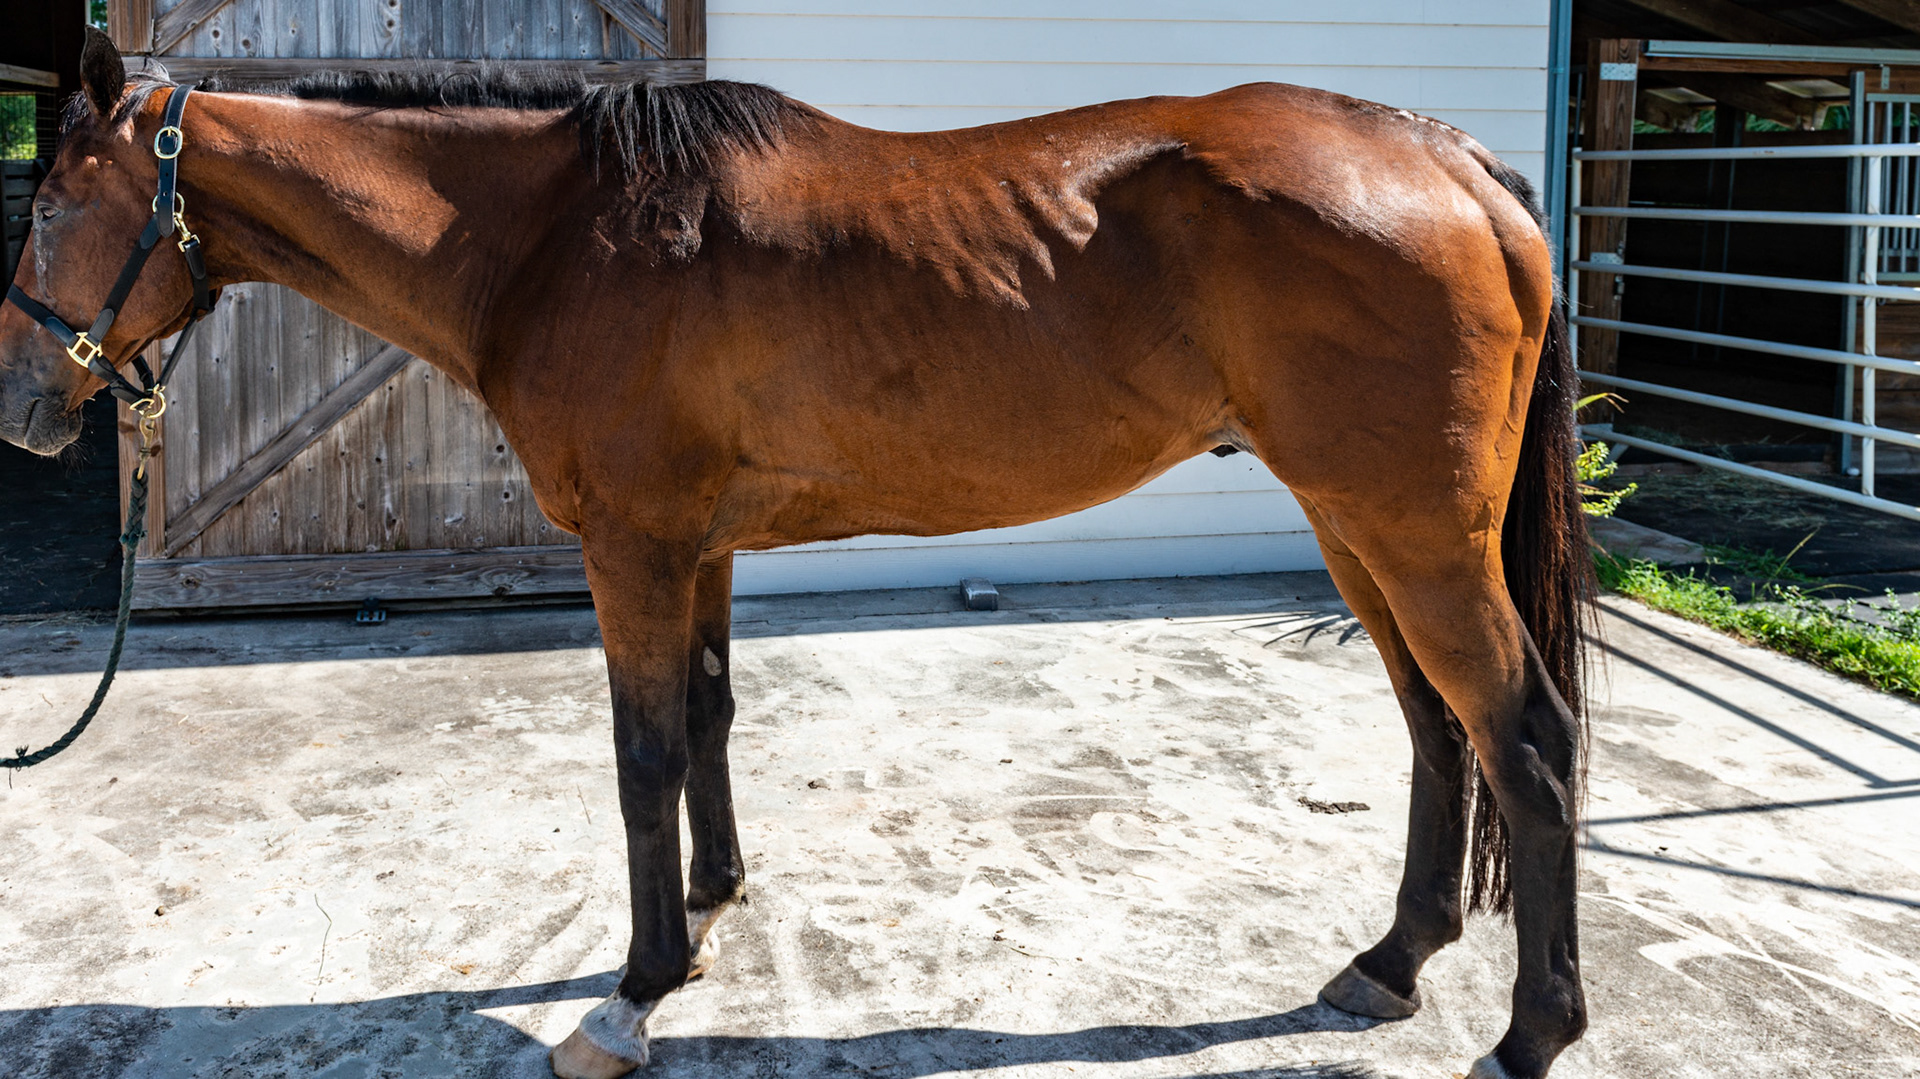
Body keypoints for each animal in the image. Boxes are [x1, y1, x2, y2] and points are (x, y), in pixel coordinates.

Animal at [1, 27, 1591, 1079]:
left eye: (52, 197)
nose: (23, 407)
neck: (557, 235)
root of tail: (1448, 156)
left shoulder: (632, 546)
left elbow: (642, 748)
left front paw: (636, 987)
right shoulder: (694, 543)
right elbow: (709, 713)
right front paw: (715, 901)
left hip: (1410, 527)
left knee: (1523, 733)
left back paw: (1532, 1031)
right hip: (1355, 524)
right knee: (1434, 725)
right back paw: (1390, 962)